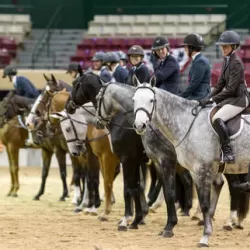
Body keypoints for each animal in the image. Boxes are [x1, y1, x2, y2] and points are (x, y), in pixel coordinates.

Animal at [132, 76, 249, 248]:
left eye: (151, 100)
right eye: (134, 100)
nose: (140, 125)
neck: (187, 123)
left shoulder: (201, 168)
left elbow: (203, 203)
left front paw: (205, 238)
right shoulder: (194, 171)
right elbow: (197, 200)